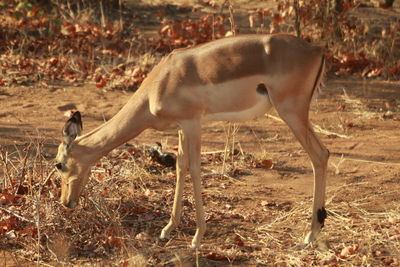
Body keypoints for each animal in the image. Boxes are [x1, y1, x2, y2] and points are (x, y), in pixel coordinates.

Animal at [55, 33, 328, 249]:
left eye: (59, 164)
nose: (65, 202)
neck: (159, 84)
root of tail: (317, 50)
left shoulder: (192, 123)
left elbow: (196, 170)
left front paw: (197, 237)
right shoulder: (180, 129)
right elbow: (180, 167)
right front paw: (167, 230)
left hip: (291, 112)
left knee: (320, 154)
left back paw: (310, 234)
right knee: (322, 154)